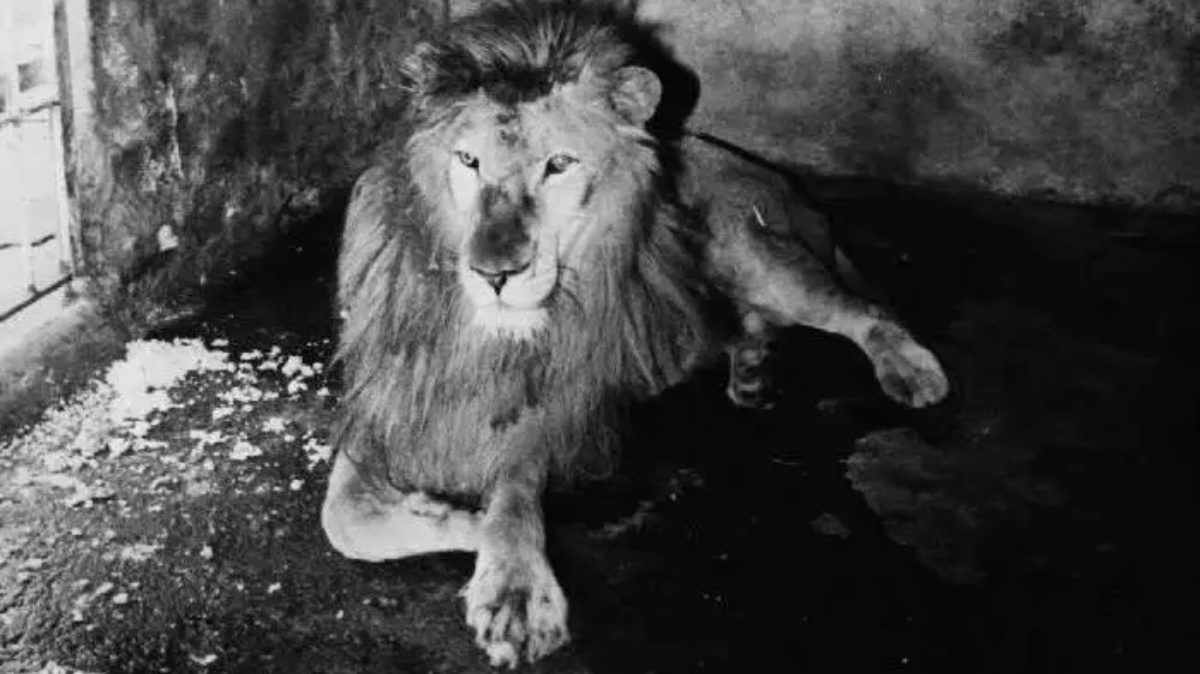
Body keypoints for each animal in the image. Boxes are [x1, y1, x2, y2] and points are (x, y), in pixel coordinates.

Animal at [321, 0, 949, 668]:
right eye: (468, 161)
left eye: (559, 165)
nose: (494, 274)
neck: (481, 334)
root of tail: (771, 176)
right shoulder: (383, 403)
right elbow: (346, 524)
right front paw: (444, 512)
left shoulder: (554, 407)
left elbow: (513, 492)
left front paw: (512, 579)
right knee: (746, 324)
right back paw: (752, 373)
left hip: (755, 254)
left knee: (864, 311)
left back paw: (913, 371)